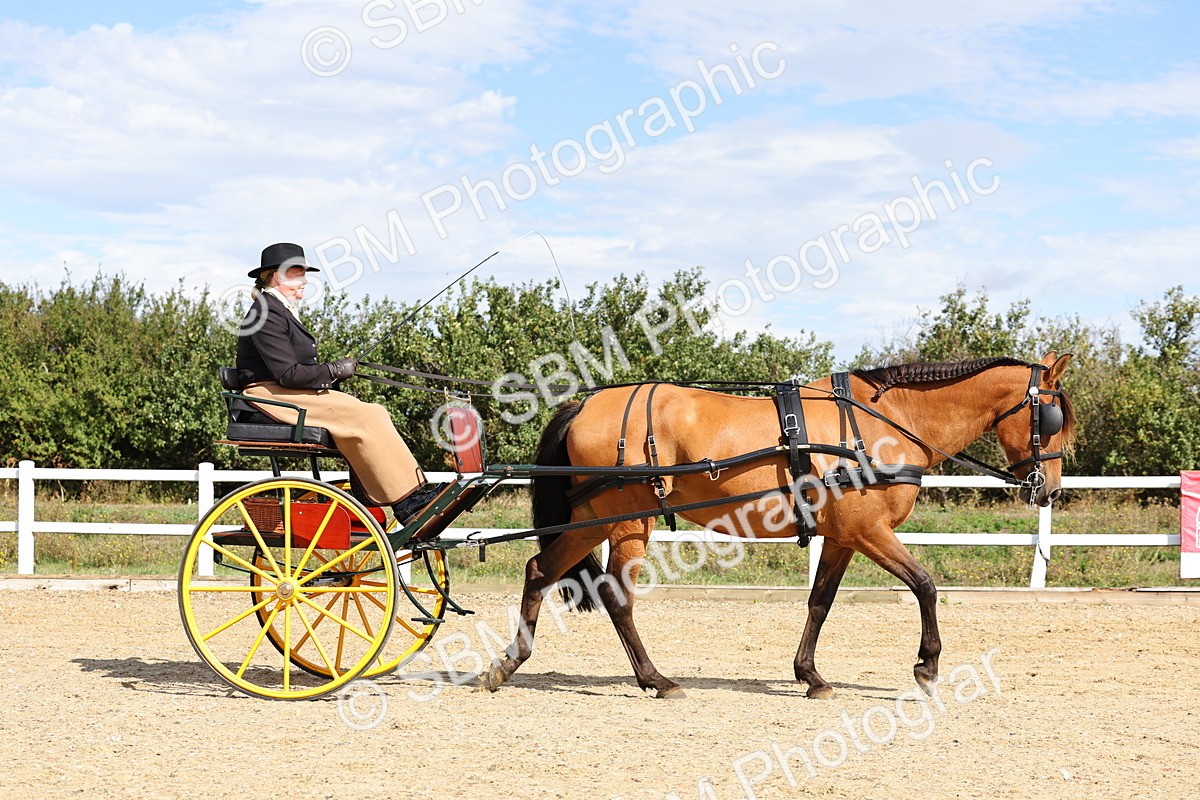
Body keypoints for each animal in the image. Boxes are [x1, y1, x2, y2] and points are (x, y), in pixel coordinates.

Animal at [477, 352, 1075, 698]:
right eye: (1050, 417)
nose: (1049, 489)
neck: (885, 423)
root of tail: (583, 405)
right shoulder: (870, 532)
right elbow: (926, 585)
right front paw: (926, 667)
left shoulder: (841, 537)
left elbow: (820, 602)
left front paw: (810, 676)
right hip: (621, 520)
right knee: (608, 593)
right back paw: (653, 680)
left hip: (598, 520)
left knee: (543, 571)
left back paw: (511, 666)